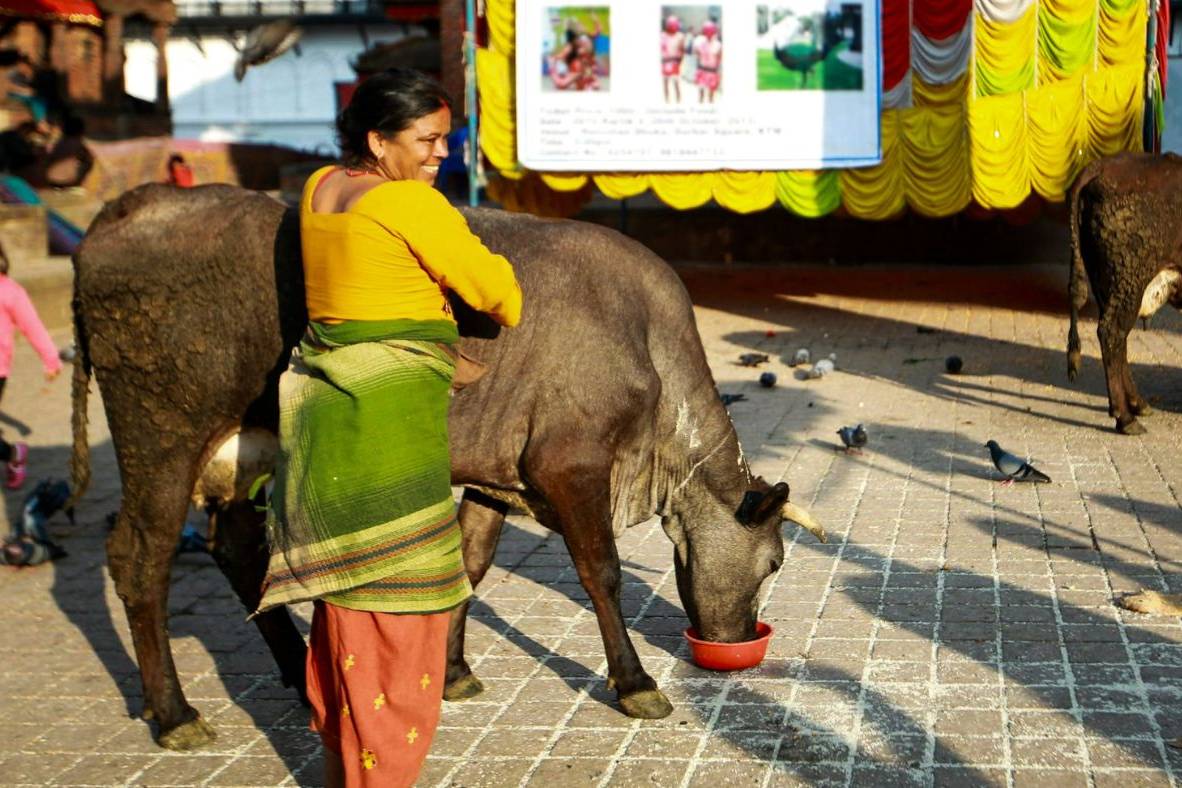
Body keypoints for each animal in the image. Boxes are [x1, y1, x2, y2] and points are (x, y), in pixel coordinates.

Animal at [71, 185, 822, 751]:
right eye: (775, 561)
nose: (738, 639)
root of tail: (137, 204)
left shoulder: (500, 471)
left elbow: (471, 563)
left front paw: (455, 670)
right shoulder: (568, 460)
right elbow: (601, 572)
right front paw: (635, 684)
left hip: (241, 446)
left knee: (234, 547)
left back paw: (291, 672)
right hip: (161, 432)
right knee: (139, 557)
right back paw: (174, 712)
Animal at [1068, 152, 1182, 437]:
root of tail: (1104, 166)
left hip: (1111, 286)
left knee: (1118, 340)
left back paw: (1137, 405)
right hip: (1128, 282)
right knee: (1112, 334)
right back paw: (1126, 418)